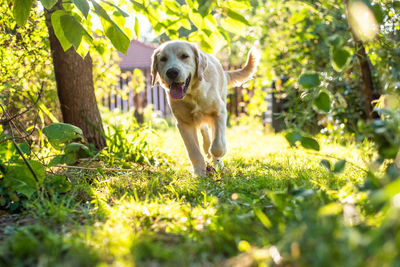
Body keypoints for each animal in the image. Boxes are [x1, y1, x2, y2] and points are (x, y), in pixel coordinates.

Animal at [150, 40, 260, 177]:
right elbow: (193, 151)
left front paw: (218, 157)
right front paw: (199, 172)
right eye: (163, 59)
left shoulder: (219, 112)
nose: (172, 72)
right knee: (205, 132)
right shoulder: (183, 123)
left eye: (184, 56)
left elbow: (217, 145)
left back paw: (217, 161)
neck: (192, 94)